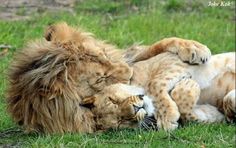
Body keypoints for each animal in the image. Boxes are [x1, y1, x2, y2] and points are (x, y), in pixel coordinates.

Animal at [6, 22, 210, 134]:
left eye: (103, 56)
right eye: (100, 79)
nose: (130, 72)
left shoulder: (127, 57)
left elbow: (159, 44)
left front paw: (194, 48)